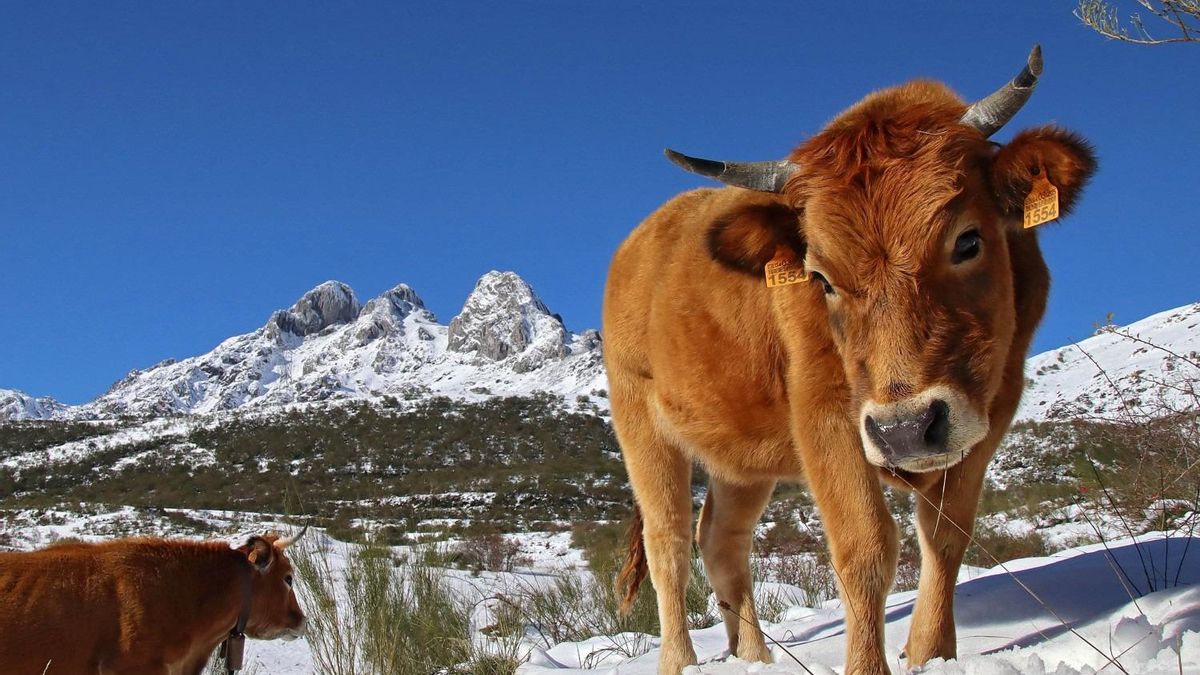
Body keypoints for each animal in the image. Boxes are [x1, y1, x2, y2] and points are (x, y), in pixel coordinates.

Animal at [603, 46, 1095, 675]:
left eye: (968, 241)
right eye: (820, 278)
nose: (906, 429)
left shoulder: (991, 407)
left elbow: (946, 535)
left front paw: (931, 653)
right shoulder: (826, 415)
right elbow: (865, 548)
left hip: (740, 458)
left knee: (721, 541)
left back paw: (755, 658)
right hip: (642, 424)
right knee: (668, 545)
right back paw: (681, 662)